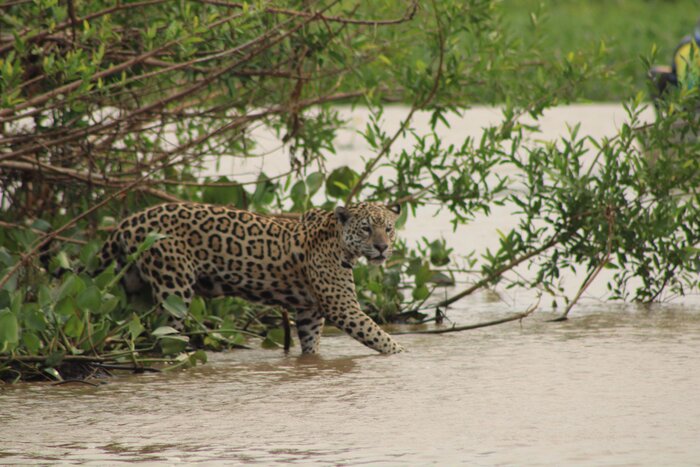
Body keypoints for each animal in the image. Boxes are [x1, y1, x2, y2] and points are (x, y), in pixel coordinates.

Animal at [97, 201, 405, 354]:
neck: (339, 241)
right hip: (174, 289)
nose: (382, 247)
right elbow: (379, 336)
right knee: (164, 335)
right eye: (366, 229)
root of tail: (129, 221)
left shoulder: (309, 311)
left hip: (134, 286)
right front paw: (402, 356)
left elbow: (311, 344)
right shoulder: (342, 307)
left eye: (389, 229)